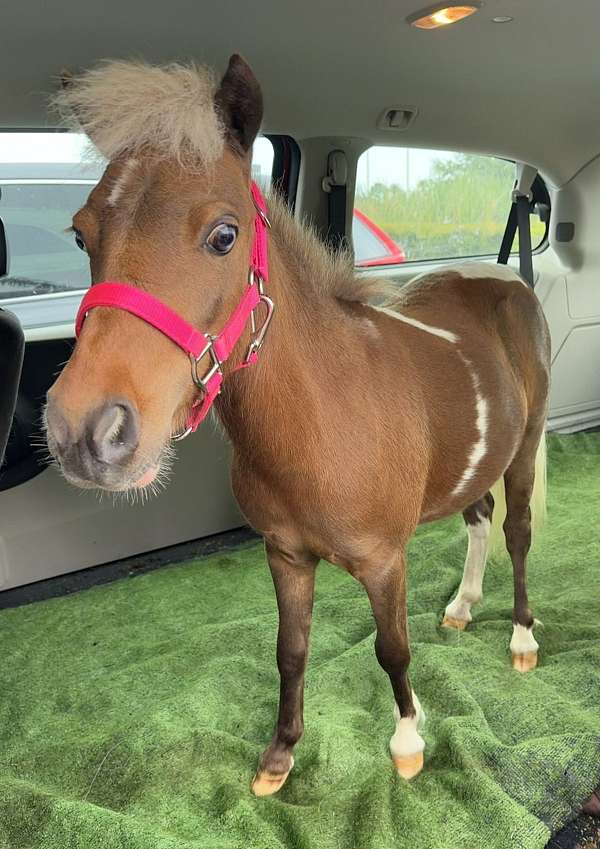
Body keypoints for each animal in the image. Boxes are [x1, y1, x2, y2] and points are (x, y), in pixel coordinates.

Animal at [45, 55, 551, 797]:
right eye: (82, 233)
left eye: (224, 235)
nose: (85, 432)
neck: (325, 417)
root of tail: (505, 280)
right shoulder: (284, 554)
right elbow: (291, 649)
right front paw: (279, 756)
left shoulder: (384, 560)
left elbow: (392, 649)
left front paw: (407, 741)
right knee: (479, 516)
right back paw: (462, 606)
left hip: (524, 448)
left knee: (516, 533)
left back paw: (520, 638)